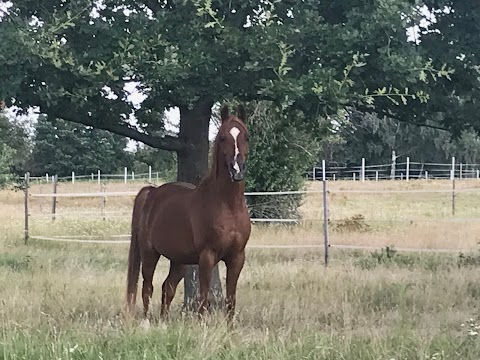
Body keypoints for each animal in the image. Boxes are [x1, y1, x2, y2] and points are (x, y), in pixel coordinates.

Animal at [126, 104, 251, 324]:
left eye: (246, 137)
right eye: (222, 137)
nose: (237, 170)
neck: (228, 206)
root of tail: (151, 193)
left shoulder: (237, 257)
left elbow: (231, 298)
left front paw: (229, 328)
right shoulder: (207, 256)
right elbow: (204, 296)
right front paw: (201, 325)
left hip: (179, 260)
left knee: (167, 288)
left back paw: (164, 322)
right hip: (150, 254)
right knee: (147, 287)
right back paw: (146, 322)